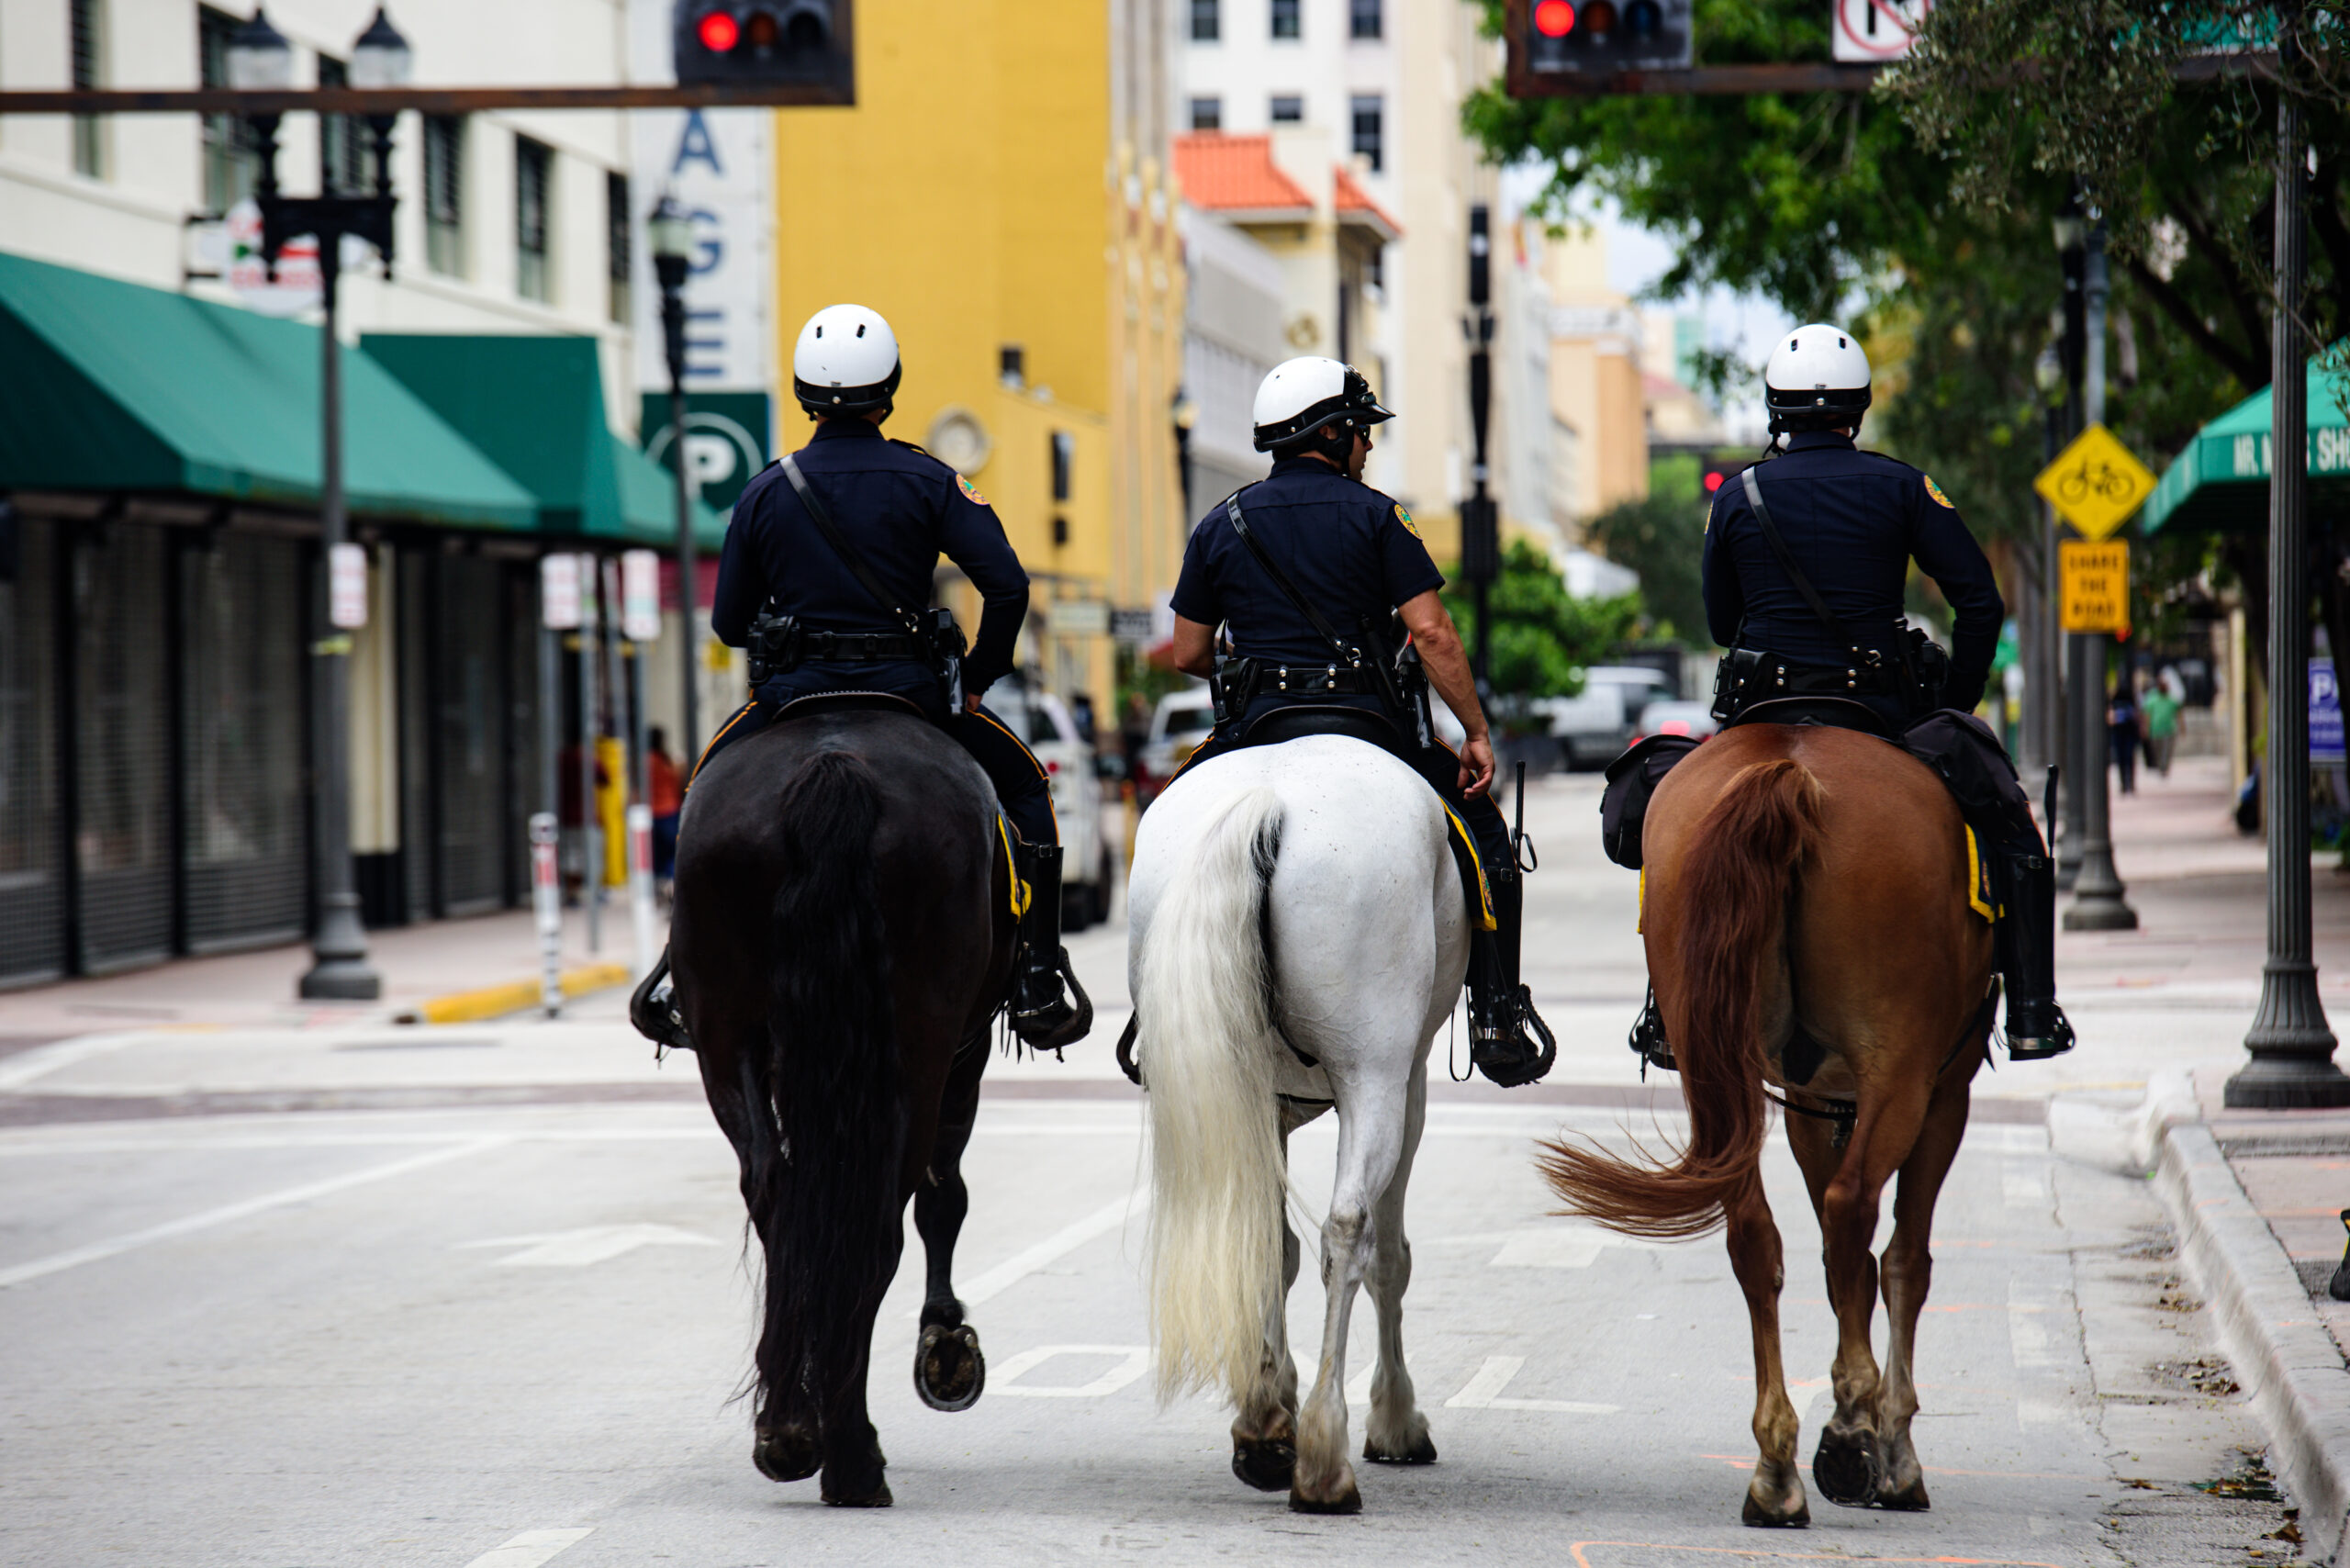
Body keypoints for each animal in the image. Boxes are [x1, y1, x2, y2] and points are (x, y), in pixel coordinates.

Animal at [669, 701, 1017, 1507]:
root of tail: (832, 763)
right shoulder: (964, 1052)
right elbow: (944, 1195)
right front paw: (945, 1345)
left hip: (724, 1034)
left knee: (777, 1191)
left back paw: (791, 1432)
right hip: (920, 1043)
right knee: (876, 1217)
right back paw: (852, 1456)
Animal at [1127, 731, 1471, 1514]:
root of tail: (1269, 803)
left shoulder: (1264, 1104)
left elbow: (1270, 1247)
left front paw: (1266, 1411)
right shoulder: (1408, 1085)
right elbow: (1390, 1258)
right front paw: (1393, 1419)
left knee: (1265, 1230)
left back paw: (1270, 1433)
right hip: (1375, 1075)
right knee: (1349, 1233)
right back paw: (1324, 1455)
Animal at [1539, 720, 1994, 1526]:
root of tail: (1790, 765)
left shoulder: (1813, 1100)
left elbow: (1847, 1264)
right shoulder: (1946, 1092)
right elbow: (1902, 1262)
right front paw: (1893, 1444)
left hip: (1713, 1064)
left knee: (1757, 1235)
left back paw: (1776, 1466)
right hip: (1903, 1068)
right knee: (1852, 1211)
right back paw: (1848, 1431)